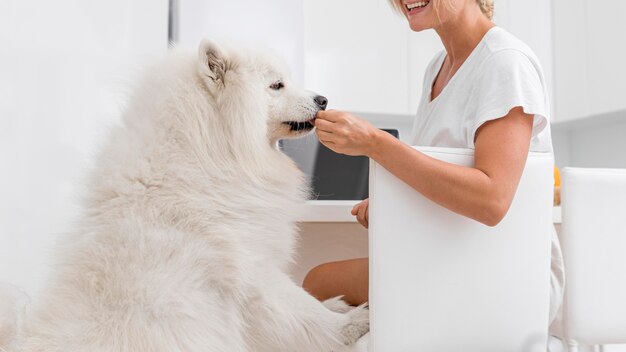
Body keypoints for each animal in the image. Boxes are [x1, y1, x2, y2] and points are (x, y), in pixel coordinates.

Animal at [0, 39, 366, 352]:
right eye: (277, 85)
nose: (323, 100)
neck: (208, 156)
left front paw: (336, 306)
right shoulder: (251, 270)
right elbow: (300, 311)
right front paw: (351, 323)